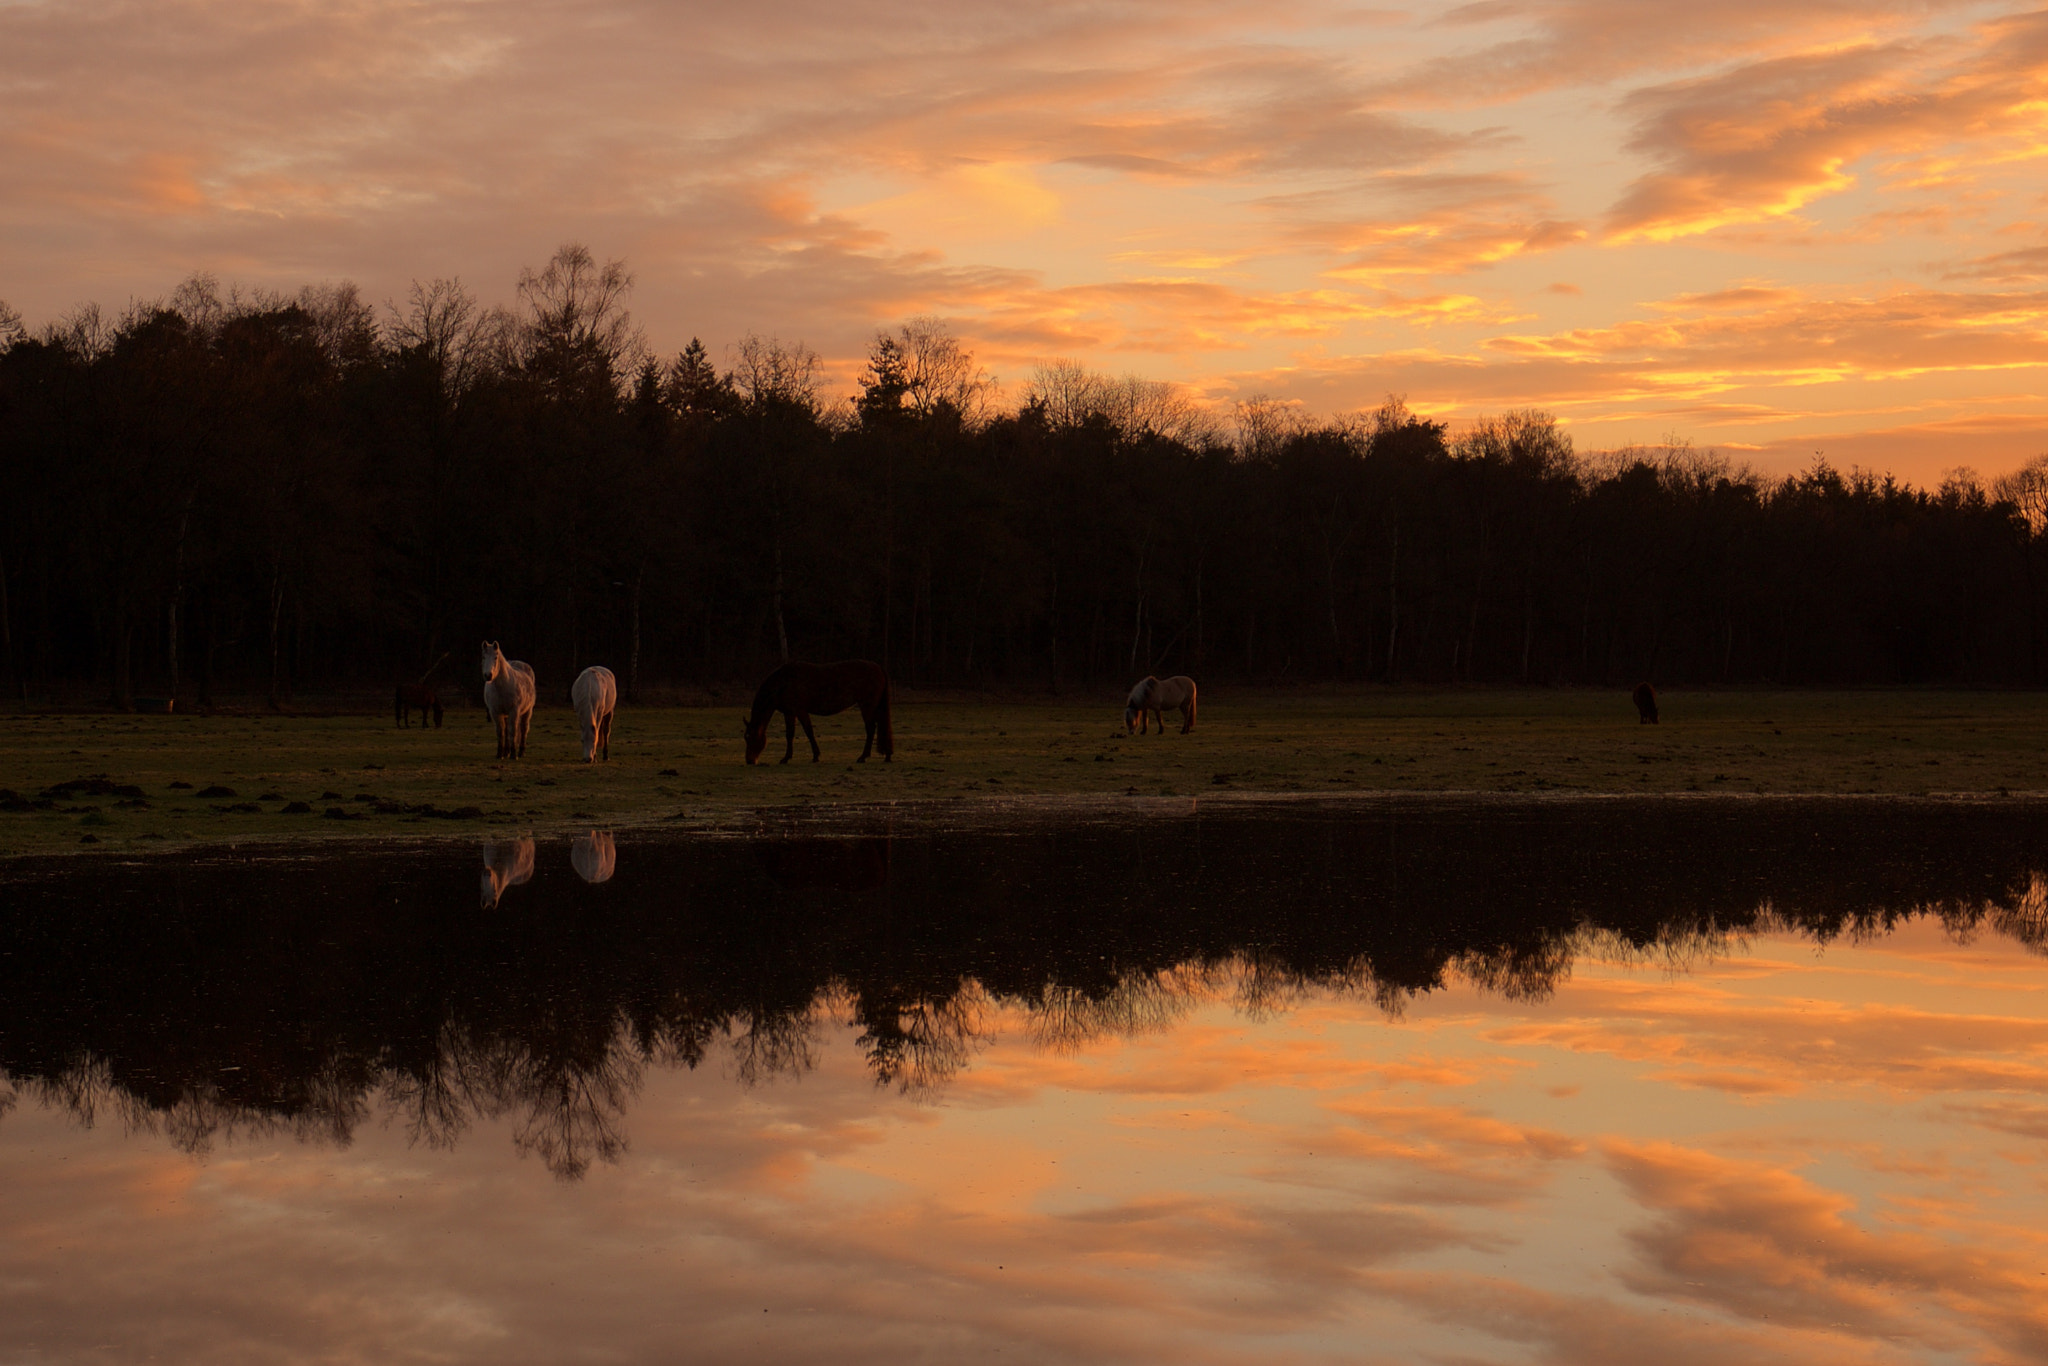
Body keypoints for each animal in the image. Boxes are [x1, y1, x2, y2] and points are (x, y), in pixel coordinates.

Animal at [745, 659, 888, 765]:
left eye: (750, 737)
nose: (749, 760)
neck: (783, 683)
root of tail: (878, 667)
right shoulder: (790, 713)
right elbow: (793, 734)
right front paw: (790, 757)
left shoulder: (799, 711)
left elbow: (805, 732)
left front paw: (812, 756)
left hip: (867, 706)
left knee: (870, 729)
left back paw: (863, 756)